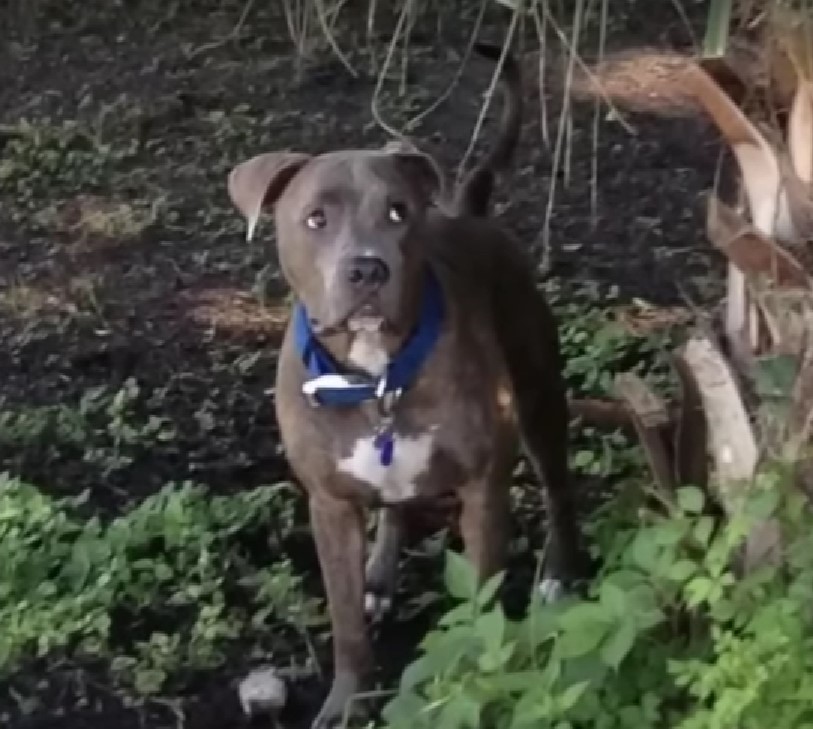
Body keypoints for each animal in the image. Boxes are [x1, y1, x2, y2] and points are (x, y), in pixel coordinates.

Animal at [227, 44, 584, 728]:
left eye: (398, 212)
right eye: (315, 218)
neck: (375, 379)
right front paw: (347, 701)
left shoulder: (482, 489)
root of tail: (469, 212)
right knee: (395, 507)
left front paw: (476, 681)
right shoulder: (330, 504)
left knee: (557, 489)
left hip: (540, 399)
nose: (368, 268)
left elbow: (480, 601)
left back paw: (558, 575)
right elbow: (344, 622)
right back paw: (380, 576)